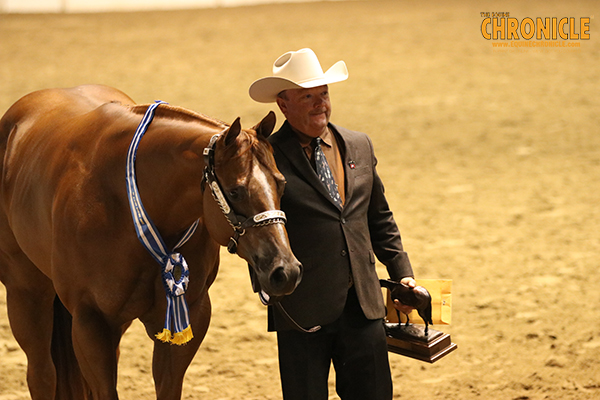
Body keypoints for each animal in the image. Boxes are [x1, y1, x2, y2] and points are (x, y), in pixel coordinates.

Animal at [0, 85, 302, 400]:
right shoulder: (90, 322)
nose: (286, 271)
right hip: (27, 294)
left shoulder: (189, 314)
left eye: (281, 183)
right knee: (42, 376)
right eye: (235, 191)